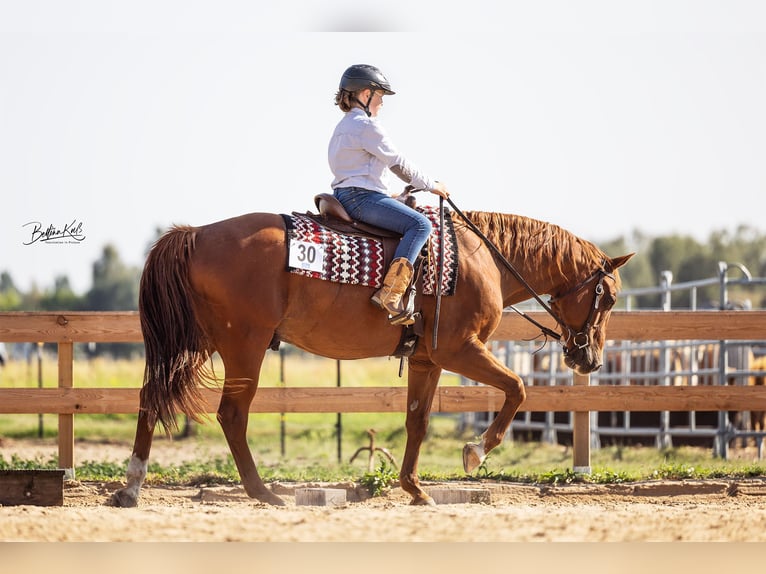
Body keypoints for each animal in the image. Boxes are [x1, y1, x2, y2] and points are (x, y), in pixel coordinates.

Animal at [110, 203, 633, 507]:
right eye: (607, 296)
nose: (591, 360)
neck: (481, 257)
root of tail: (196, 233)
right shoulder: (460, 349)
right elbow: (517, 388)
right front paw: (474, 452)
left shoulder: (427, 359)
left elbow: (418, 421)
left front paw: (415, 489)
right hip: (244, 346)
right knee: (232, 415)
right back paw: (264, 492)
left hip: (196, 344)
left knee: (150, 398)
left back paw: (132, 488)